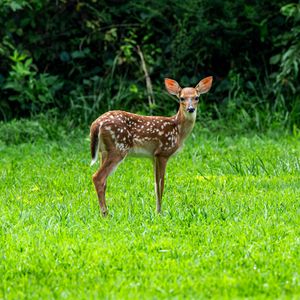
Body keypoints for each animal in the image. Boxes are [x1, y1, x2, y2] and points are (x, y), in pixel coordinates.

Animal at [89, 76, 213, 217]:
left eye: (197, 97)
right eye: (181, 98)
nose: (191, 109)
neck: (178, 131)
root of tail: (96, 123)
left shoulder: (153, 156)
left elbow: (155, 184)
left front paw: (156, 211)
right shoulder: (163, 152)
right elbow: (161, 183)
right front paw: (160, 213)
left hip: (103, 151)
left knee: (104, 181)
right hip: (118, 149)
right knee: (98, 177)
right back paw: (105, 214)